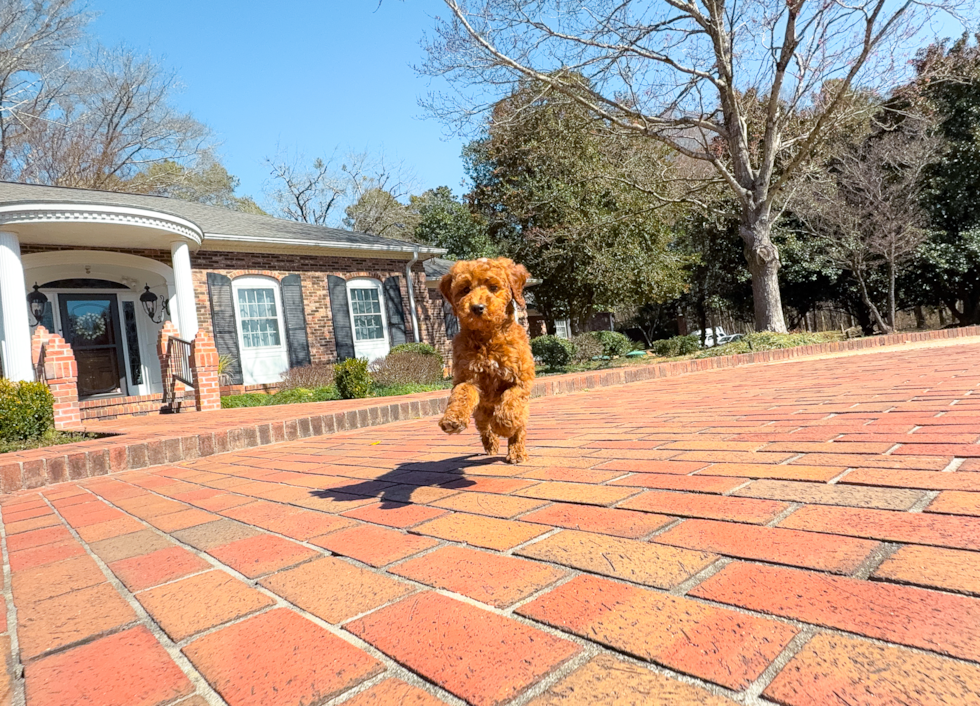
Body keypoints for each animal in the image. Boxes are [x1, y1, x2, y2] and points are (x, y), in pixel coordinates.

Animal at [440, 258, 536, 462]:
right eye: (465, 289)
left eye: (493, 287)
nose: (477, 307)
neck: (487, 338)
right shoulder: (467, 376)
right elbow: (461, 394)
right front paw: (452, 419)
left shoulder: (520, 380)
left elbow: (511, 402)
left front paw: (504, 425)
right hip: (481, 410)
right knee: (484, 427)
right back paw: (491, 445)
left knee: (519, 425)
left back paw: (516, 452)